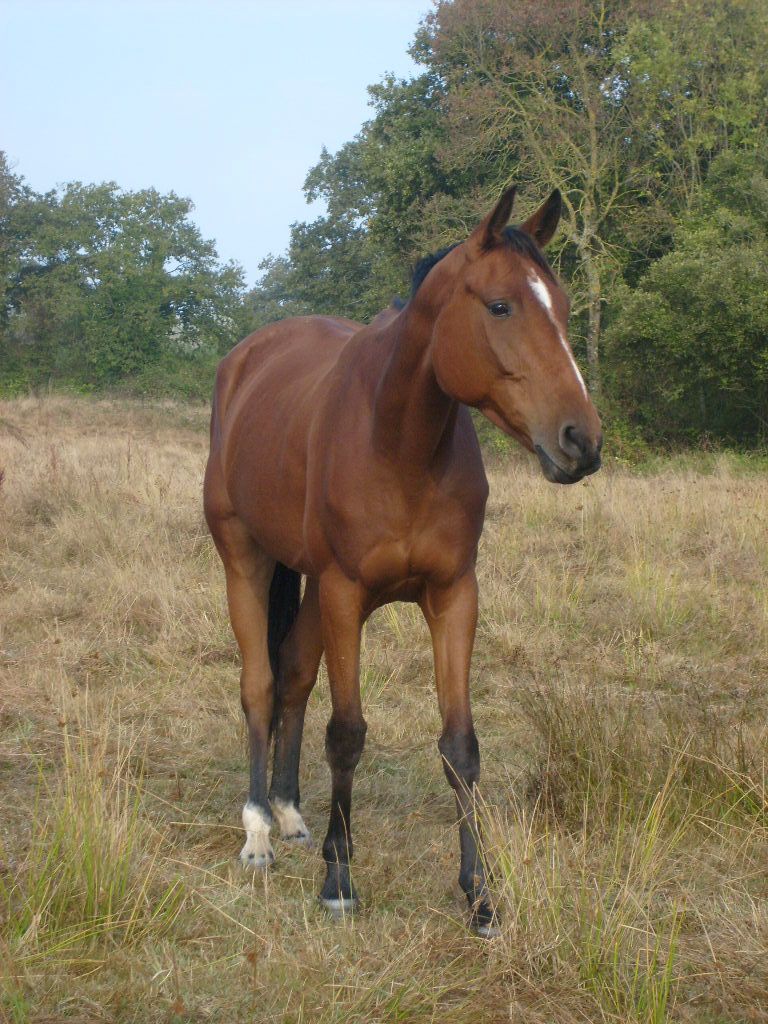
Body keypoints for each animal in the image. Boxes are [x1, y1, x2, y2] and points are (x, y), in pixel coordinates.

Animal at [203, 186, 602, 935]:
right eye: (500, 306)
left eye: (563, 308)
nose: (581, 441)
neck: (398, 443)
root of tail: (245, 359)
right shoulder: (344, 593)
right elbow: (347, 735)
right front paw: (338, 880)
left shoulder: (453, 595)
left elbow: (460, 746)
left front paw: (478, 895)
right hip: (246, 558)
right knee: (261, 686)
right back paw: (258, 830)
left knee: (293, 676)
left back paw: (290, 813)